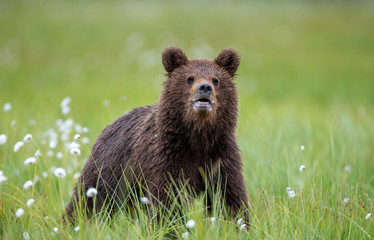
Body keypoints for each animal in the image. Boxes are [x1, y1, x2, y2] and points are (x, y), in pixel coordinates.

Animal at [65, 46, 250, 226]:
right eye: (190, 78)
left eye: (216, 80)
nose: (204, 88)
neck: (198, 137)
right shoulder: (166, 156)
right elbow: (167, 198)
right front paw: (170, 226)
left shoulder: (221, 156)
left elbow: (229, 196)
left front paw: (237, 224)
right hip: (109, 168)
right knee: (88, 198)